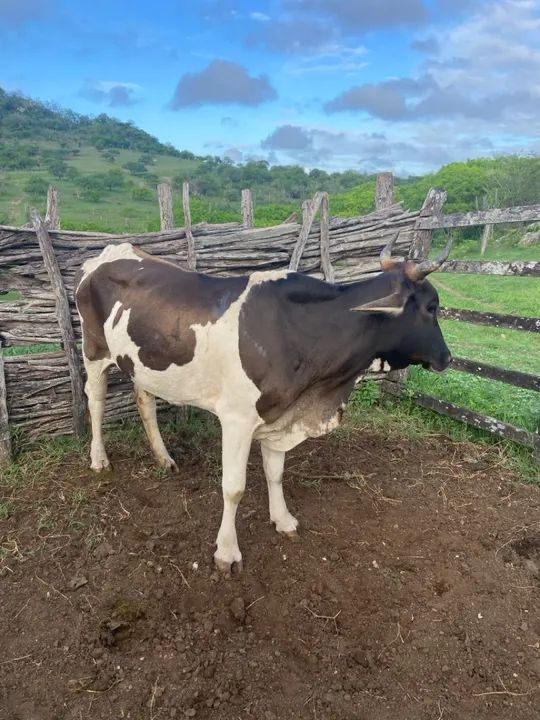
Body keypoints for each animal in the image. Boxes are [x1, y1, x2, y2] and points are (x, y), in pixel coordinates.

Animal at [75, 234, 452, 573]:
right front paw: (227, 552)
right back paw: (99, 458)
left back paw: (163, 457)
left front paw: (282, 519)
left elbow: (275, 473)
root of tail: (109, 252)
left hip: (141, 362)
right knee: (95, 400)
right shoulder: (237, 419)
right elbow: (233, 488)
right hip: (93, 350)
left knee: (144, 400)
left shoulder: (280, 413)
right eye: (431, 307)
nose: (447, 357)